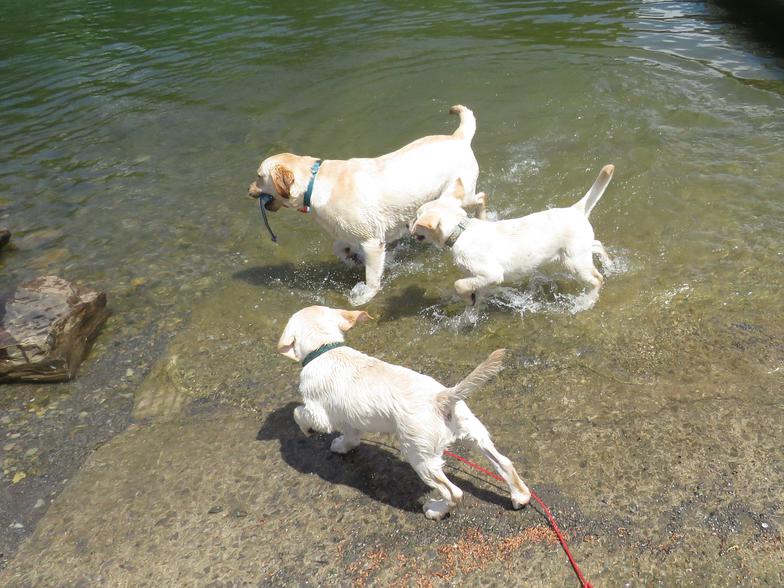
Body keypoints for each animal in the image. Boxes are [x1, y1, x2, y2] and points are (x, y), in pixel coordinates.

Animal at [250, 107, 484, 308]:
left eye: (259, 176)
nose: (248, 190)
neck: (314, 184)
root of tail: (458, 137)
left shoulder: (372, 242)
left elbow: (371, 279)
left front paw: (363, 296)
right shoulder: (348, 232)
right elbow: (338, 247)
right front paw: (352, 258)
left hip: (456, 196)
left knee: (481, 198)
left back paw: (484, 218)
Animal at [278, 306, 532, 520]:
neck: (324, 348)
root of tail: (442, 398)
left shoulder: (318, 412)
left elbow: (299, 413)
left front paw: (307, 430)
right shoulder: (350, 418)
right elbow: (351, 436)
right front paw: (342, 446)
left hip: (419, 456)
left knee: (454, 493)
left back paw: (435, 510)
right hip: (473, 431)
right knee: (504, 463)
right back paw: (520, 496)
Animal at [414, 164, 616, 308]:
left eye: (416, 218)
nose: (409, 226)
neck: (461, 230)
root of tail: (575, 209)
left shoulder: (491, 273)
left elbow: (459, 284)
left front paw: (468, 299)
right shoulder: (480, 278)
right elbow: (474, 288)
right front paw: (473, 304)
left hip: (574, 262)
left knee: (597, 279)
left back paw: (587, 302)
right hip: (577, 252)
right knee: (597, 244)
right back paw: (609, 265)